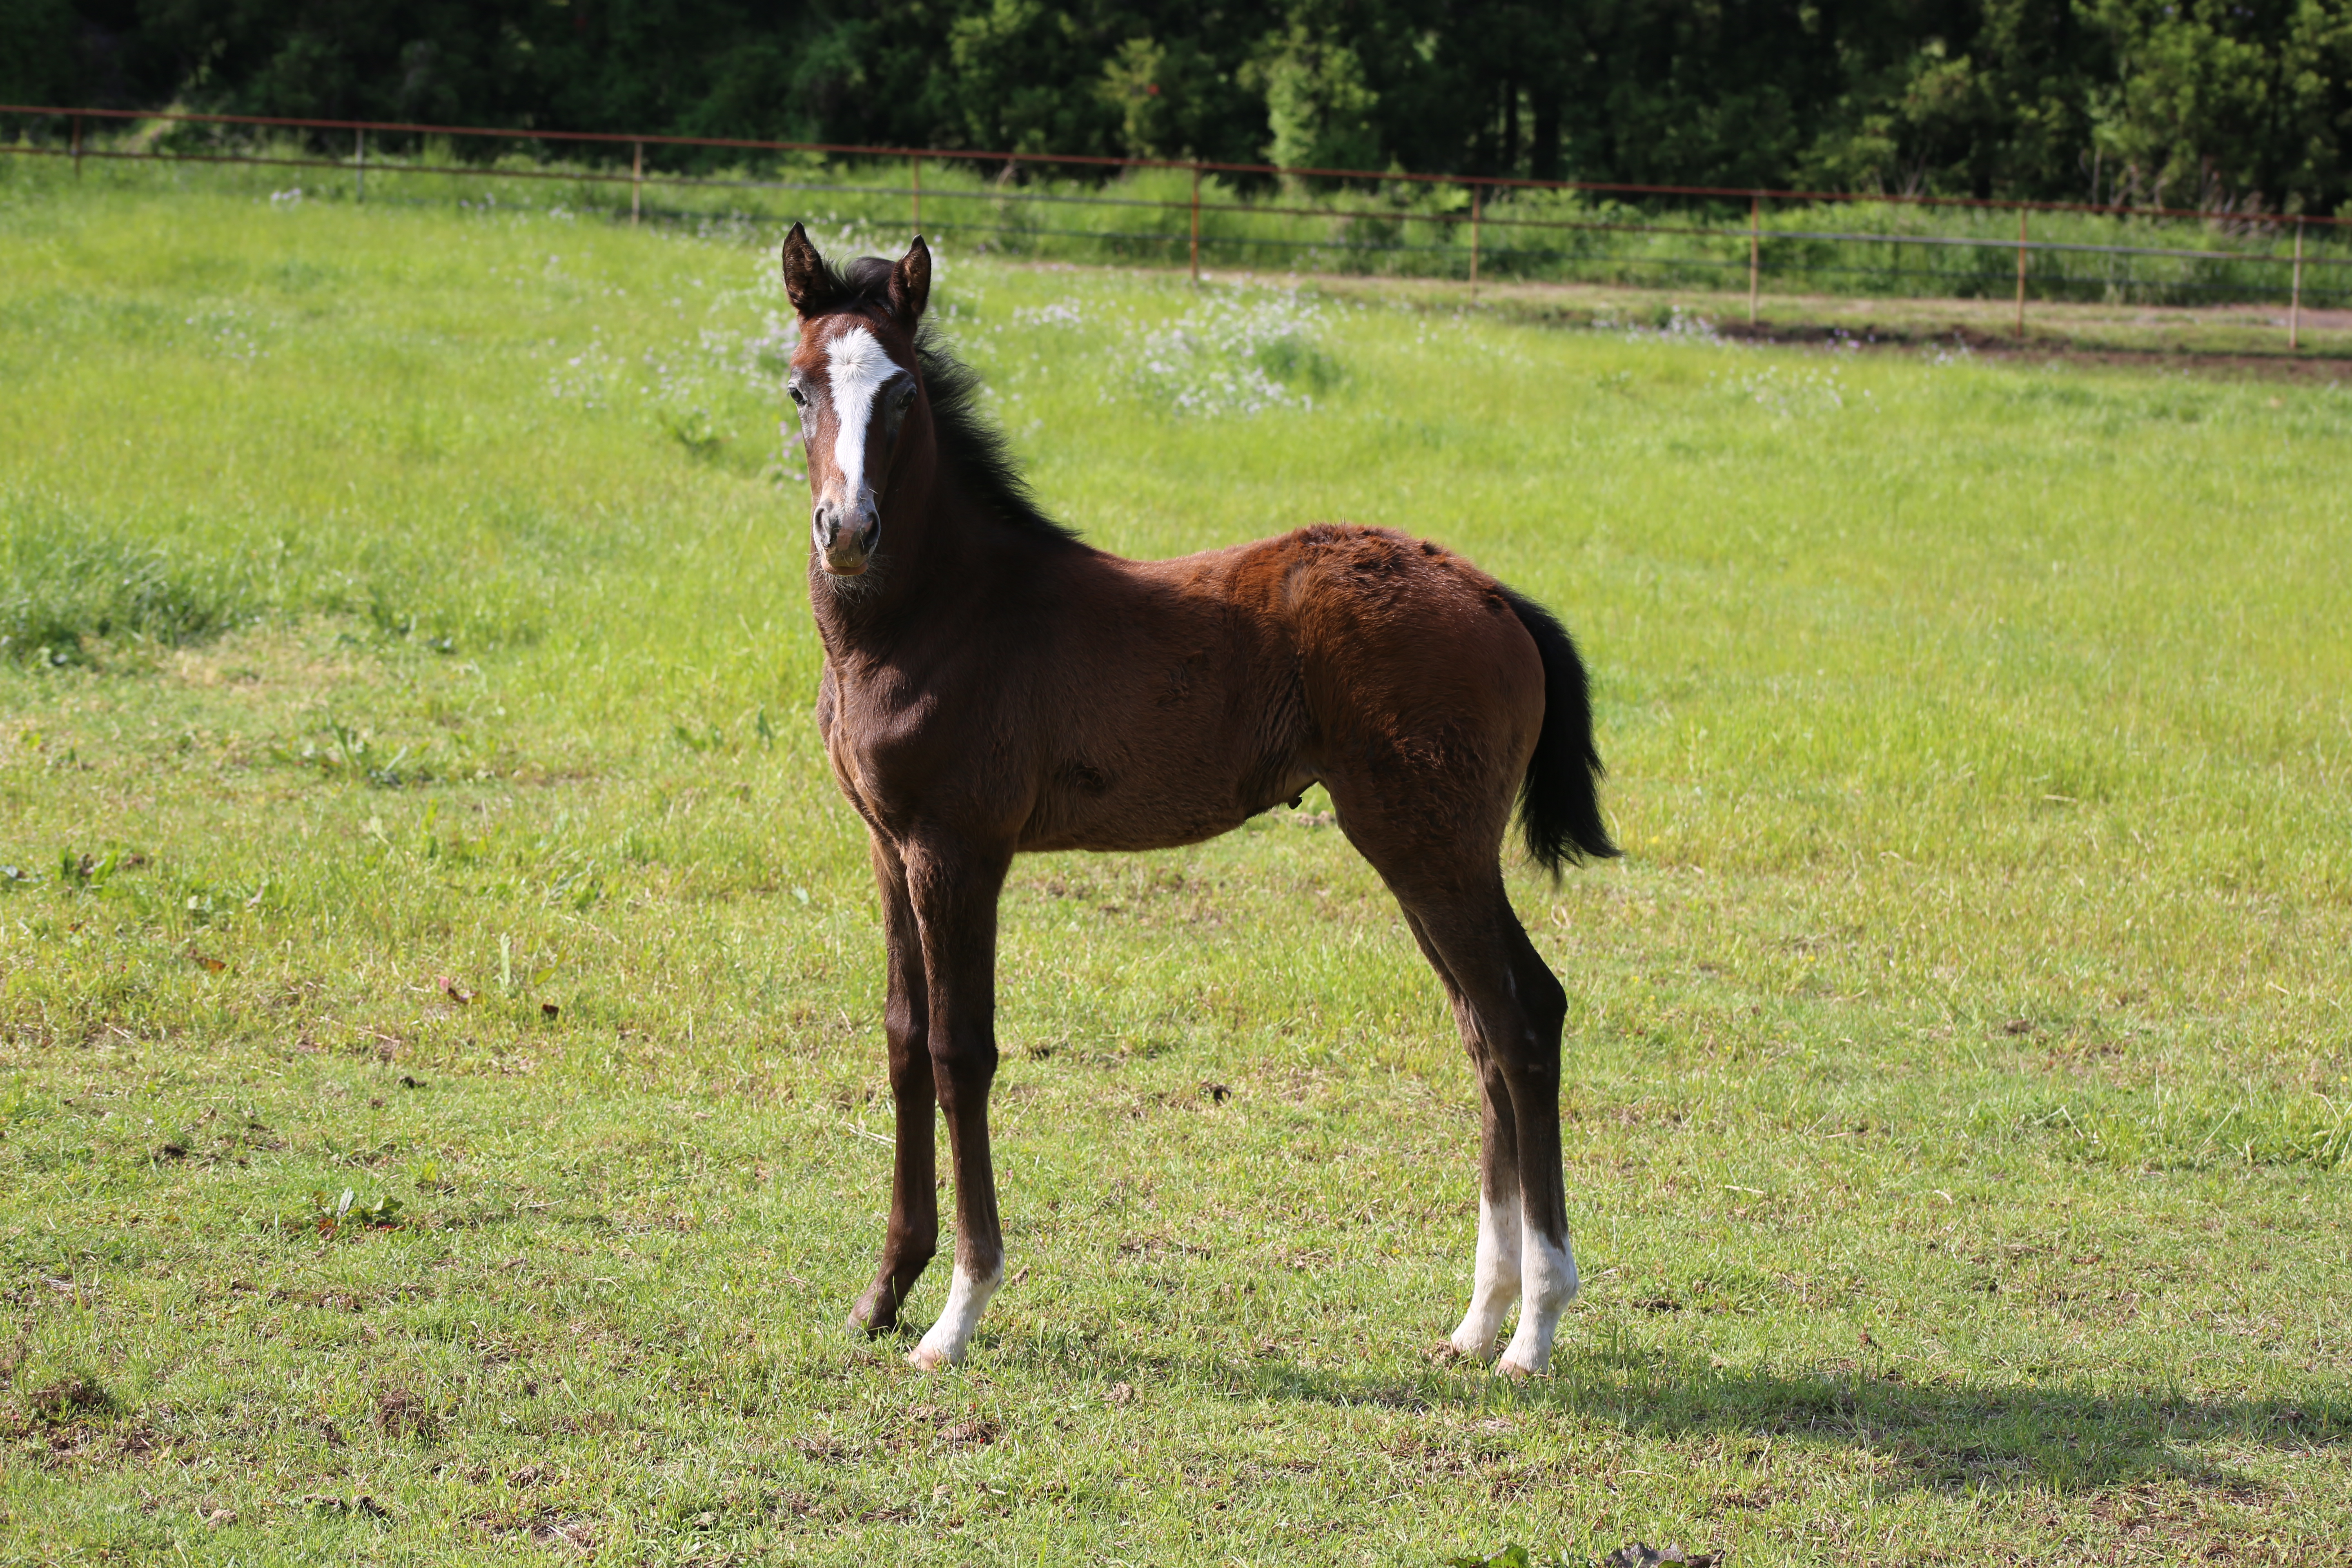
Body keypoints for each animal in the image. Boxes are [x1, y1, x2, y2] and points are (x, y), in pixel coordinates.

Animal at [781, 221, 1608, 1373]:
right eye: (799, 387)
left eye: (899, 394)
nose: (846, 529)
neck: (937, 616)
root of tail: (1494, 596)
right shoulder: (886, 844)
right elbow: (904, 1041)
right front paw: (881, 1293)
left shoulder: (960, 848)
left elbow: (960, 1051)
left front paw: (956, 1313)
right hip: (1424, 851)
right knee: (1482, 1029)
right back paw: (1476, 1320)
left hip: (1430, 845)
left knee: (1525, 1015)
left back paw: (1533, 1330)